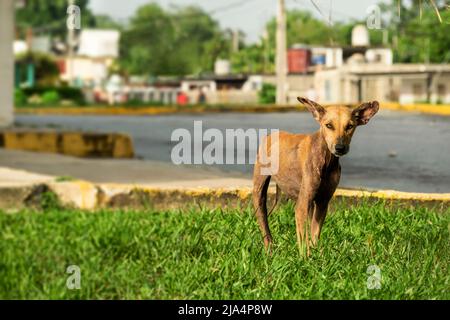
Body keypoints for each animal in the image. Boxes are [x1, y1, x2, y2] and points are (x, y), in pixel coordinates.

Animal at [253, 97, 380, 252]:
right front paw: (304, 256)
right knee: (263, 221)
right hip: (259, 192)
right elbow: (303, 240)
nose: (340, 147)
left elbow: (314, 236)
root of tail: (271, 135)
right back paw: (269, 247)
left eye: (350, 126)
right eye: (329, 125)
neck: (326, 160)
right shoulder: (301, 206)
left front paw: (316, 255)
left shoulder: (322, 203)